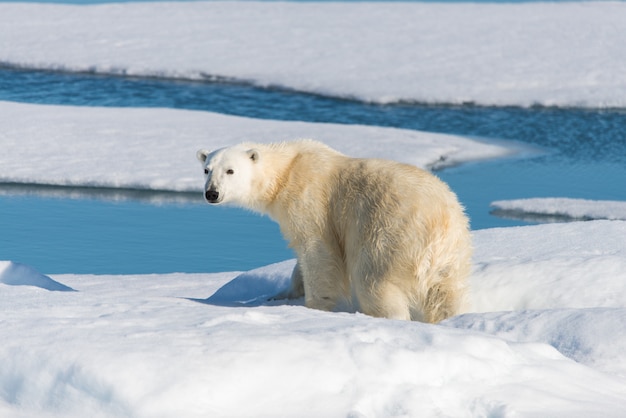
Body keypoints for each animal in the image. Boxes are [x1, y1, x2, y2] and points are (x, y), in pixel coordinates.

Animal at [197, 140, 470, 324]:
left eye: (230, 170)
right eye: (207, 169)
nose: (212, 193)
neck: (287, 170)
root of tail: (438, 224)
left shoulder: (311, 203)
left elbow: (317, 253)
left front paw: (314, 307)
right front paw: (281, 295)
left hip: (389, 234)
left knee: (374, 282)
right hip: (453, 254)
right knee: (446, 295)